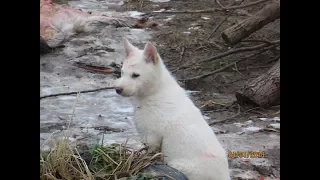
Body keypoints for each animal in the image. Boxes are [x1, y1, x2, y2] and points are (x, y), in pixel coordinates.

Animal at [115, 38, 230, 180]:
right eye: (122, 73)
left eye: (136, 75)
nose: (117, 89)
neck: (155, 91)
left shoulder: (152, 137)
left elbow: (149, 154)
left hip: (180, 166)